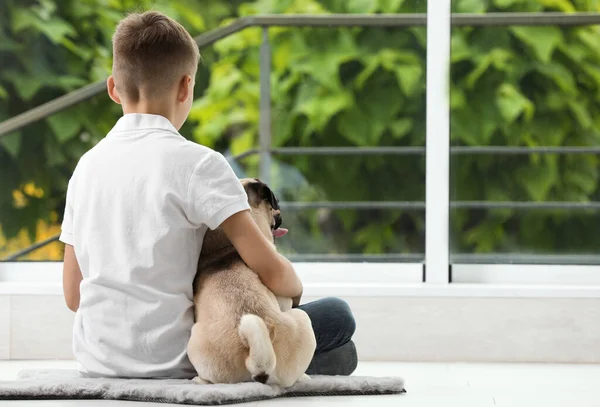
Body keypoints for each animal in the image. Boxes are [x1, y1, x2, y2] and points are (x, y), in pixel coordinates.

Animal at [188, 178, 316, 388]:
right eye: (275, 202)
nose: (280, 212)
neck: (224, 245)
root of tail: (259, 363)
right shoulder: (284, 300)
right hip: (302, 317)